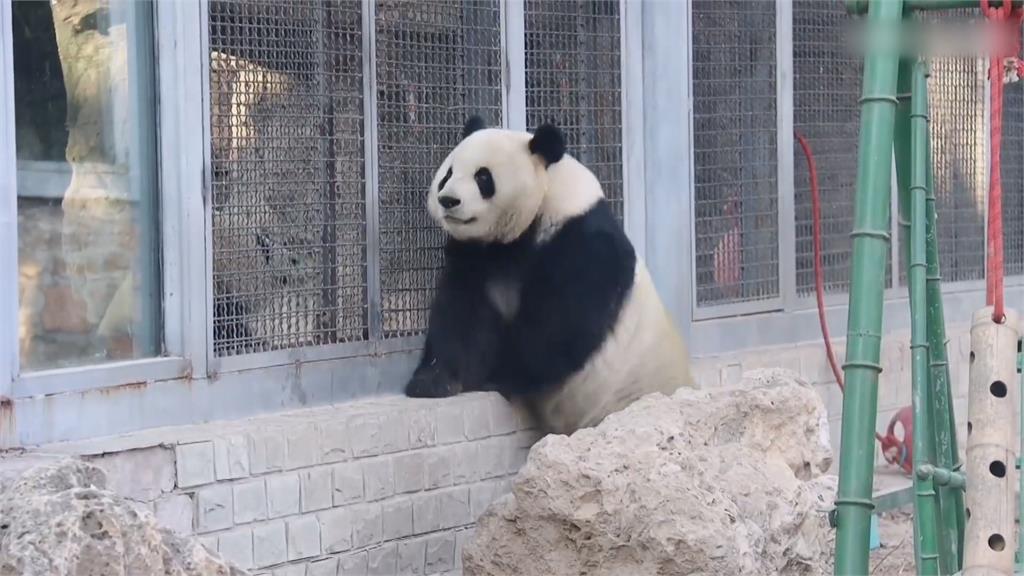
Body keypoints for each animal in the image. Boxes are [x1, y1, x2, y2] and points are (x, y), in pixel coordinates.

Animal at [401, 114, 696, 432]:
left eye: (483, 177)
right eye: (448, 173)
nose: (448, 200)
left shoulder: (583, 243)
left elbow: (560, 325)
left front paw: (495, 374)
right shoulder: (478, 254)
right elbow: (461, 312)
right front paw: (433, 381)